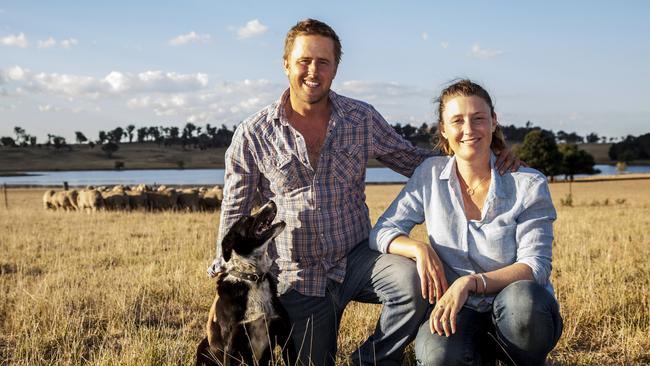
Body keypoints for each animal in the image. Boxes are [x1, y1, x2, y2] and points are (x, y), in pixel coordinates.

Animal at [194, 202, 292, 364]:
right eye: (247, 219)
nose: (271, 202)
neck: (252, 278)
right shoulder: (231, 345)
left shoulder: (285, 334)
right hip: (204, 347)